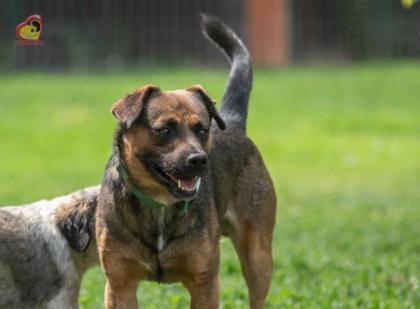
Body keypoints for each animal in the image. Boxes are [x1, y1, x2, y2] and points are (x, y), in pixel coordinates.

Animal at [97, 15, 278, 308]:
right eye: (164, 130)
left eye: (202, 129)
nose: (199, 160)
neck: (160, 205)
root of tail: (233, 123)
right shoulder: (119, 285)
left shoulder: (205, 284)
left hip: (258, 257)